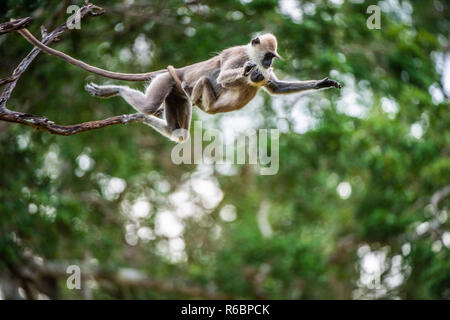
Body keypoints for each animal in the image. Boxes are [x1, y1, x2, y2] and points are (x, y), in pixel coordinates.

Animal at [83, 33, 342, 142]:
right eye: (268, 55)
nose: (268, 64)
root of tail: (180, 71)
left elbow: (275, 87)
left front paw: (323, 83)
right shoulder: (238, 56)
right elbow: (226, 78)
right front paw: (250, 72)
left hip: (175, 95)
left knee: (178, 133)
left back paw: (141, 117)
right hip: (167, 81)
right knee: (156, 102)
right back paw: (118, 92)